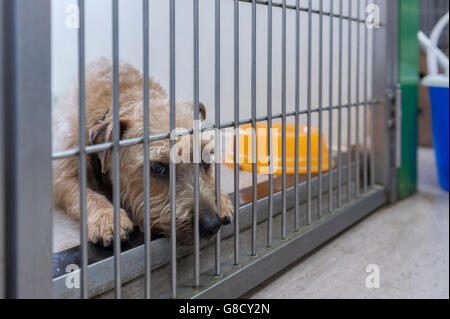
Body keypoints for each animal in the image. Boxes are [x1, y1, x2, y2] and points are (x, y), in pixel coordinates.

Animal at [53, 58, 232, 248]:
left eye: (205, 163)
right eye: (159, 168)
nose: (212, 225)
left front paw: (221, 198)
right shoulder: (62, 178)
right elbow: (84, 194)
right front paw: (107, 217)